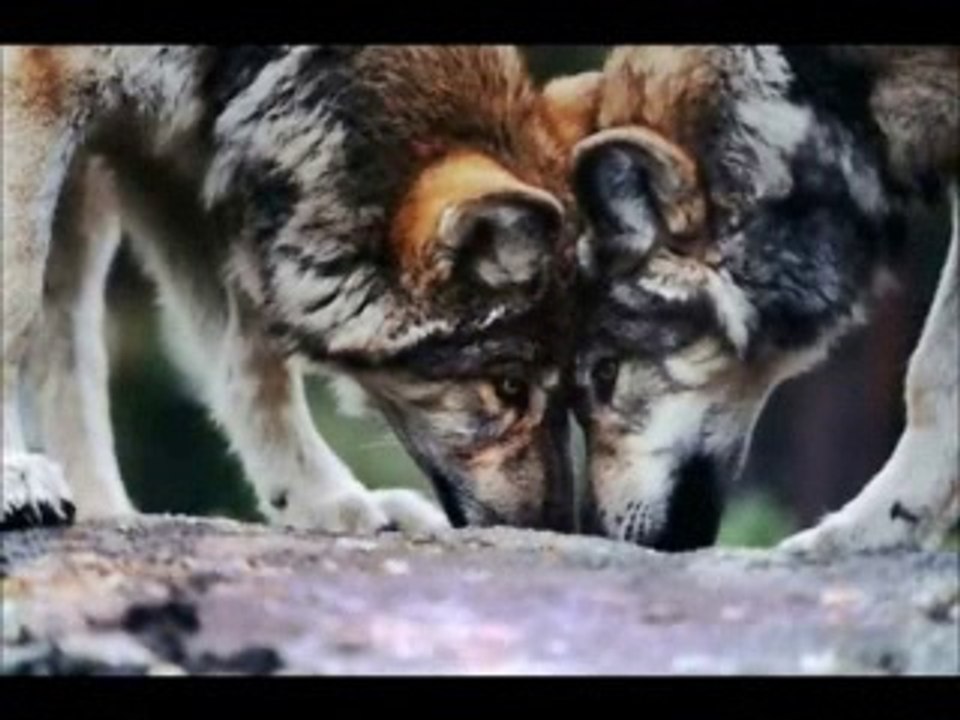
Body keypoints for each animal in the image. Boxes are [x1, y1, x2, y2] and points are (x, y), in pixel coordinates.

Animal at [2, 45, 588, 534]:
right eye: (510, 387)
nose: (556, 526)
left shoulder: (183, 164)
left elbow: (258, 367)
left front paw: (325, 502)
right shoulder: (40, 85)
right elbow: (13, 313)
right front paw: (13, 475)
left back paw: (105, 512)